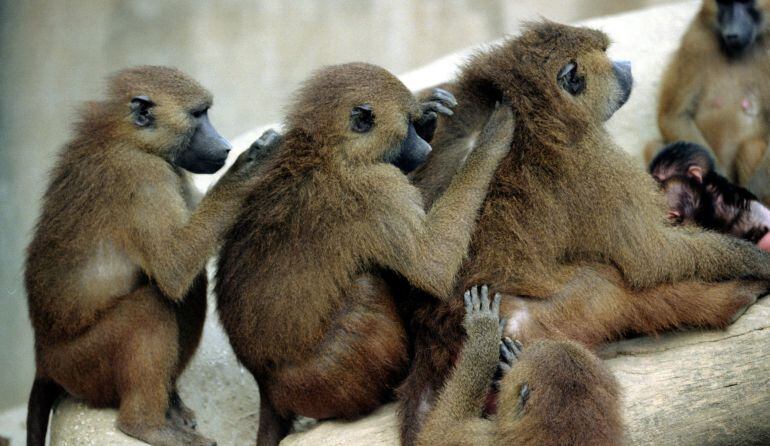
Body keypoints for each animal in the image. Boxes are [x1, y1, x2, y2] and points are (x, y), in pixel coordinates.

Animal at [24, 66, 281, 446]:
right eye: (198, 114)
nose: (225, 146)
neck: (127, 138)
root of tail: (42, 359)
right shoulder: (143, 176)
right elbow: (174, 266)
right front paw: (254, 161)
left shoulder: (173, 170)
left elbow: (181, 267)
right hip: (80, 366)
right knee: (151, 307)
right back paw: (146, 426)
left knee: (187, 288)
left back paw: (169, 403)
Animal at [213, 62, 515, 446]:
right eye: (406, 128)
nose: (423, 147)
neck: (326, 147)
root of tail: (263, 384)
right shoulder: (379, 189)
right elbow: (432, 265)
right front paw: (493, 136)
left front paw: (432, 114)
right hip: (323, 381)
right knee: (365, 287)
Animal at [651, 0, 770, 201]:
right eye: (724, 4)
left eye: (746, 2)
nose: (732, 33)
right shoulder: (695, 41)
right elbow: (674, 116)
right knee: (655, 146)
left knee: (751, 147)